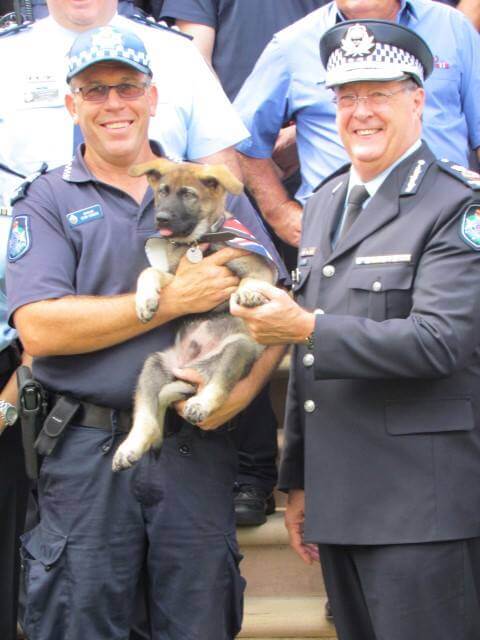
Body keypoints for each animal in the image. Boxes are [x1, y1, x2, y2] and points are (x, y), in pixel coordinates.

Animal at [112, 160, 276, 470]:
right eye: (162, 192)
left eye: (188, 194)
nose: (161, 219)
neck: (198, 241)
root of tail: (192, 369)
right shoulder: (177, 277)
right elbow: (149, 271)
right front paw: (145, 301)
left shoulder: (257, 265)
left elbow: (254, 280)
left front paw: (248, 293)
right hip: (154, 365)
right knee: (148, 420)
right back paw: (130, 447)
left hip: (237, 350)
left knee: (218, 387)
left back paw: (200, 404)